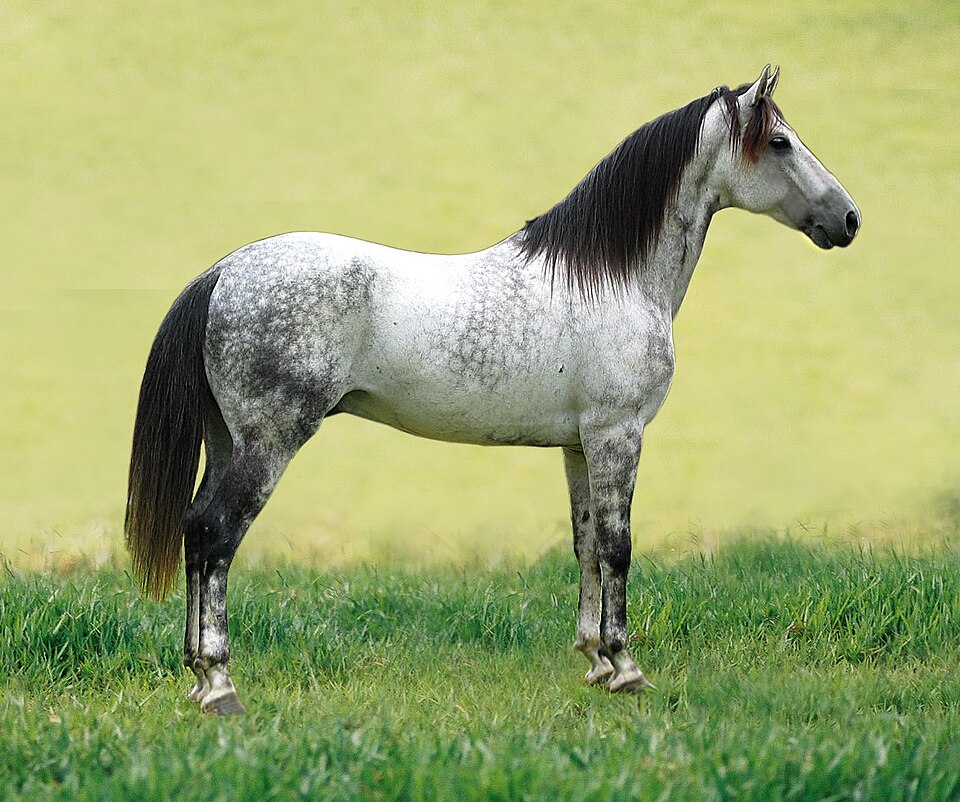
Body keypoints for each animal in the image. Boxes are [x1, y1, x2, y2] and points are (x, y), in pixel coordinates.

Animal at [125, 66, 860, 715]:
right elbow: (619, 546)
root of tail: (223, 272)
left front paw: (595, 661)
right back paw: (220, 684)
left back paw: (196, 678)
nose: (849, 219)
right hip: (268, 444)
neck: (613, 277)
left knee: (194, 529)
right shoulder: (617, 434)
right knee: (217, 536)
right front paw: (626, 670)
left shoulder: (579, 445)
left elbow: (587, 546)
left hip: (228, 441)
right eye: (780, 142)